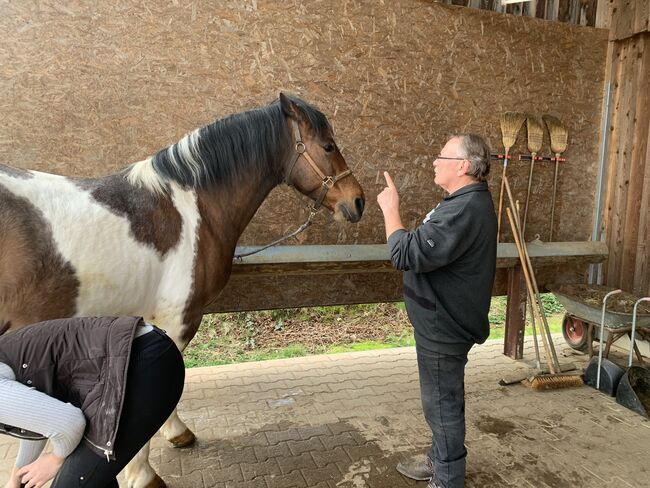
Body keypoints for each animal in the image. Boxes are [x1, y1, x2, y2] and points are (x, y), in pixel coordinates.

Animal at [0, 93, 364, 486]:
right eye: (328, 146)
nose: (358, 201)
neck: (194, 208)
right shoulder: (178, 320)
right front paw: (142, 473)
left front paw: (175, 434)